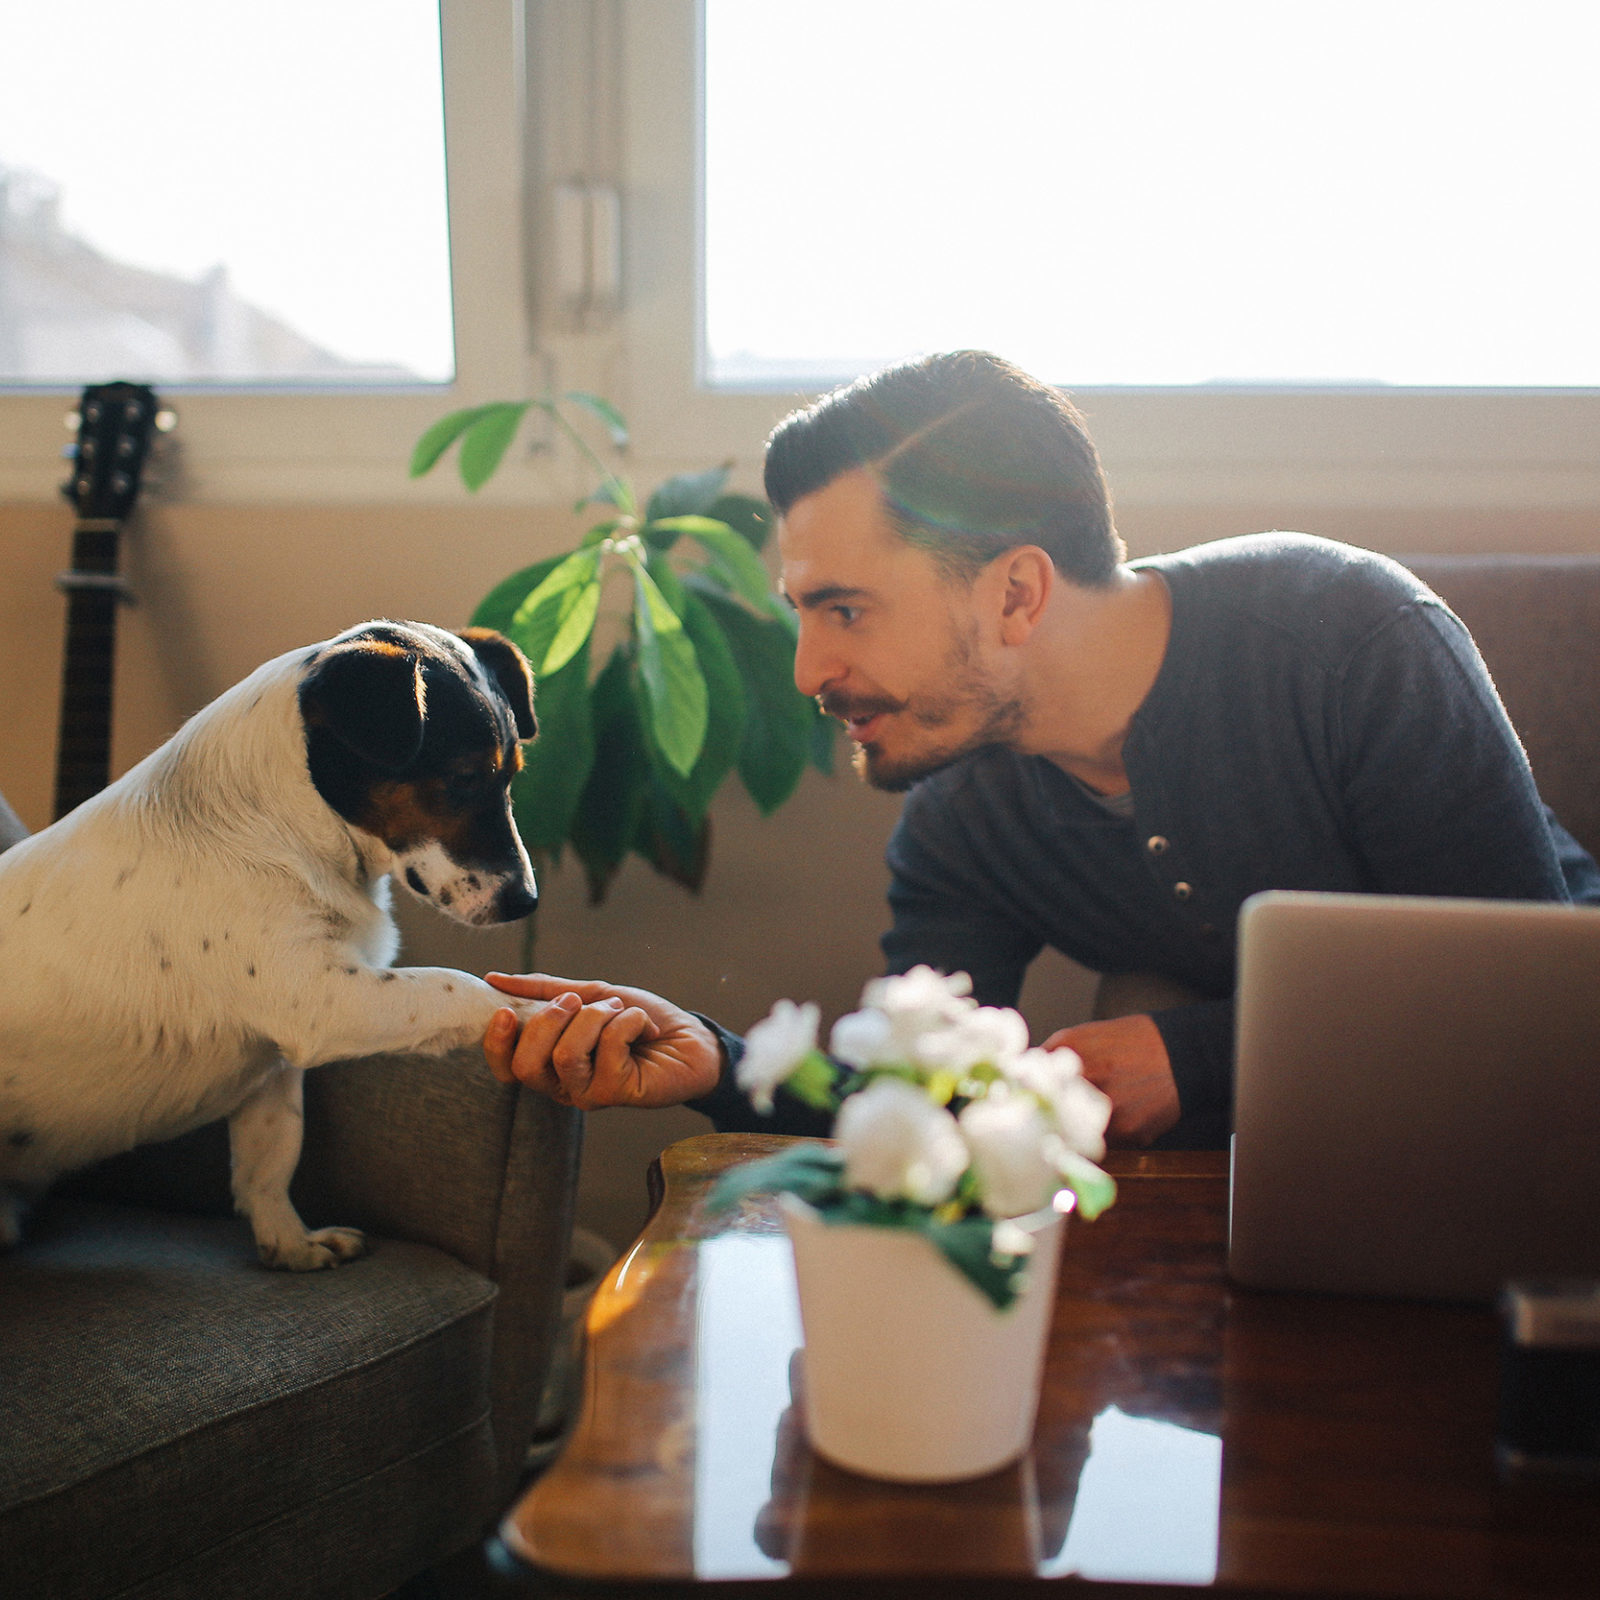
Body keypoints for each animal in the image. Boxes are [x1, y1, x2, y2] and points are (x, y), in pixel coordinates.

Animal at [0, 617, 544, 1267]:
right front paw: (540, 1009)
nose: (527, 902)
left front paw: (291, 1245)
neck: (280, 829)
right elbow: (457, 986)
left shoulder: (275, 1065)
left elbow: (271, 1157)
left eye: (513, 775)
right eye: (462, 779)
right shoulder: (325, 1001)